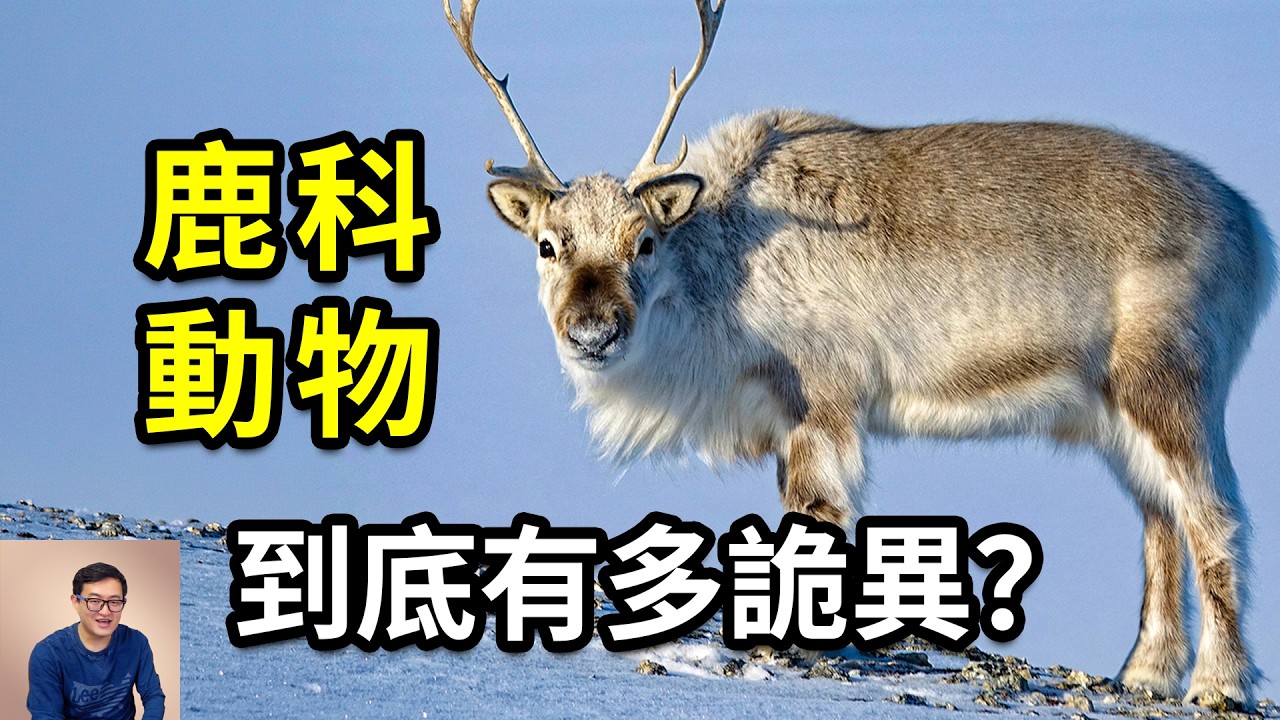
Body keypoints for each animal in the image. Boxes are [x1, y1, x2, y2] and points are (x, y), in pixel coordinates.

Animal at [443, 0, 1272, 707]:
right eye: (547, 245)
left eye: (643, 241)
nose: (592, 332)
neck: (719, 268)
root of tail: (1253, 229)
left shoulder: (822, 399)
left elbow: (815, 514)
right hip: (1109, 410)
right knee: (1159, 518)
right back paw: (1146, 673)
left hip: (1171, 379)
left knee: (1213, 515)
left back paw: (1219, 684)